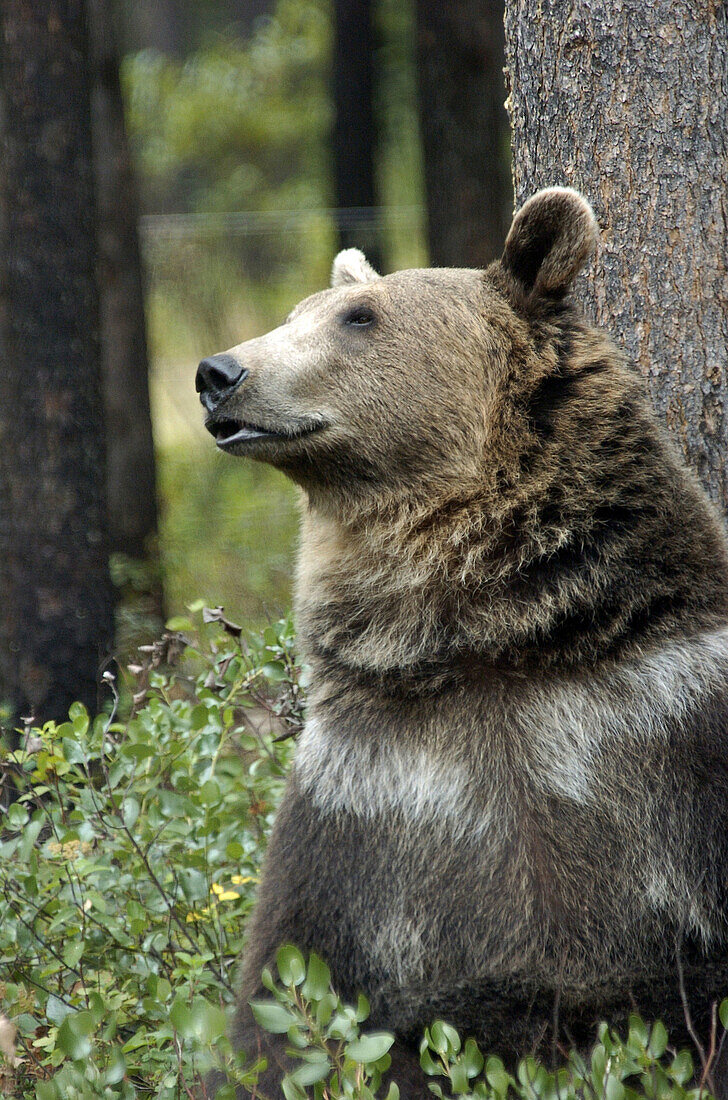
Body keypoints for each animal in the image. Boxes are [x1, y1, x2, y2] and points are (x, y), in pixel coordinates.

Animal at [196, 191, 728, 1100]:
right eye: (295, 312)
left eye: (359, 317)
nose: (219, 373)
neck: (484, 634)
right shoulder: (373, 804)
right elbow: (288, 1005)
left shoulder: (672, 736)